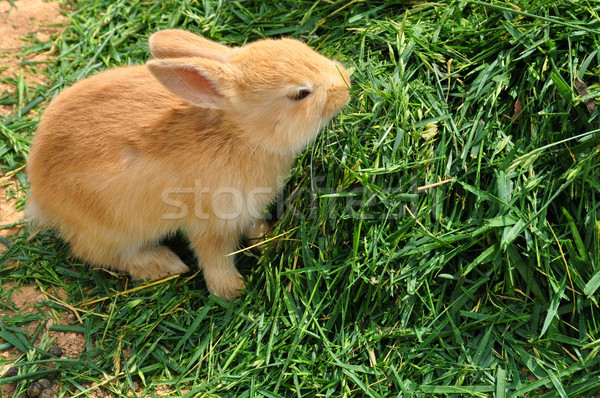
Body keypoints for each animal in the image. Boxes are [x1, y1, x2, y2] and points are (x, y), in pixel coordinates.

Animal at [25, 29, 352, 300]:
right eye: (300, 94)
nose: (346, 83)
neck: (239, 136)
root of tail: (40, 193)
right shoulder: (211, 221)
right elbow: (214, 256)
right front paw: (232, 291)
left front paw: (266, 237)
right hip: (111, 228)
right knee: (98, 253)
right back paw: (162, 263)